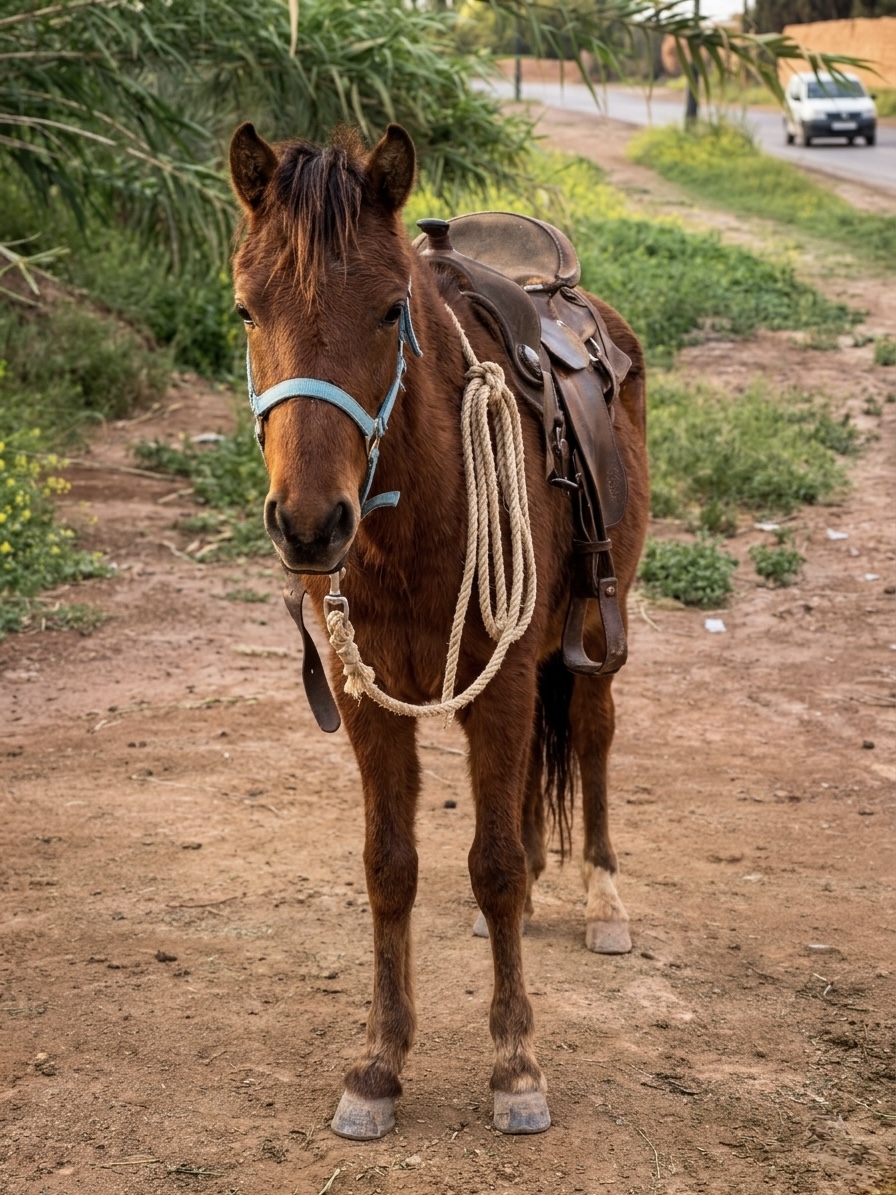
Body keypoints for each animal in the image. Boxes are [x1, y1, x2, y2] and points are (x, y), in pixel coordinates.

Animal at [228, 121, 649, 1140]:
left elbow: (489, 865)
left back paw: (603, 895)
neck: (417, 508)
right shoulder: (368, 697)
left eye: (390, 311)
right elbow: (391, 866)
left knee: (591, 737)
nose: (310, 525)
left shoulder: (501, 683)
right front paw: (378, 1064)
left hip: (595, 636)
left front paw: (516, 1065)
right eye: (247, 311)